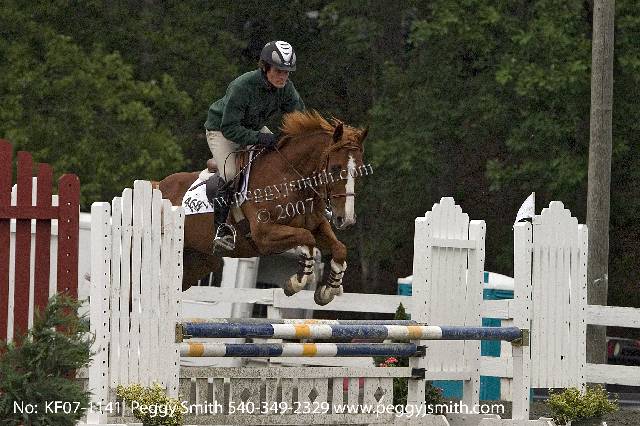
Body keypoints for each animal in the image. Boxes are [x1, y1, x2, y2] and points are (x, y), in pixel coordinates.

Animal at [156, 111, 368, 305]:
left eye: (359, 170)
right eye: (335, 168)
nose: (346, 220)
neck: (290, 178)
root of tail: (158, 185)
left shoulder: (318, 225)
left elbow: (339, 248)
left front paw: (329, 290)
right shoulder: (264, 235)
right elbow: (306, 238)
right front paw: (295, 282)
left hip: (198, 261)